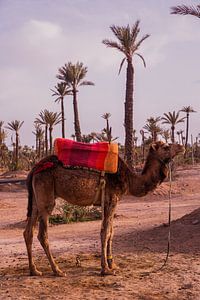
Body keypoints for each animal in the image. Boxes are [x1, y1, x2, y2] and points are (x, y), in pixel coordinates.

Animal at [23, 141, 184, 276]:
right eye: (166, 147)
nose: (182, 147)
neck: (130, 179)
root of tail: (34, 169)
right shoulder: (111, 199)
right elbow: (105, 232)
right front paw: (105, 269)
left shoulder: (113, 201)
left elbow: (111, 232)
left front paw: (113, 264)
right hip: (46, 192)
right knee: (42, 233)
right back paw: (57, 270)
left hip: (36, 199)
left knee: (28, 232)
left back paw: (34, 270)